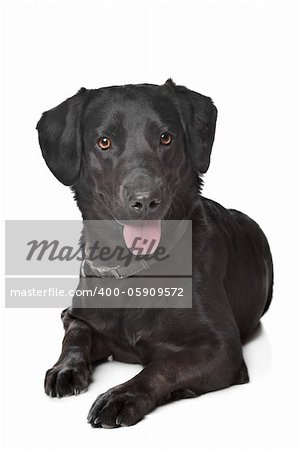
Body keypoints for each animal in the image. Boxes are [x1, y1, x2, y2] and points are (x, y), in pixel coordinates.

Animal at [37, 79, 274, 428]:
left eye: (166, 137)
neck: (133, 267)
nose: (145, 199)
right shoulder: (79, 314)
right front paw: (64, 368)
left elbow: (163, 366)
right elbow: (75, 335)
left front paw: (122, 396)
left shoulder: (223, 348)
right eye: (104, 142)